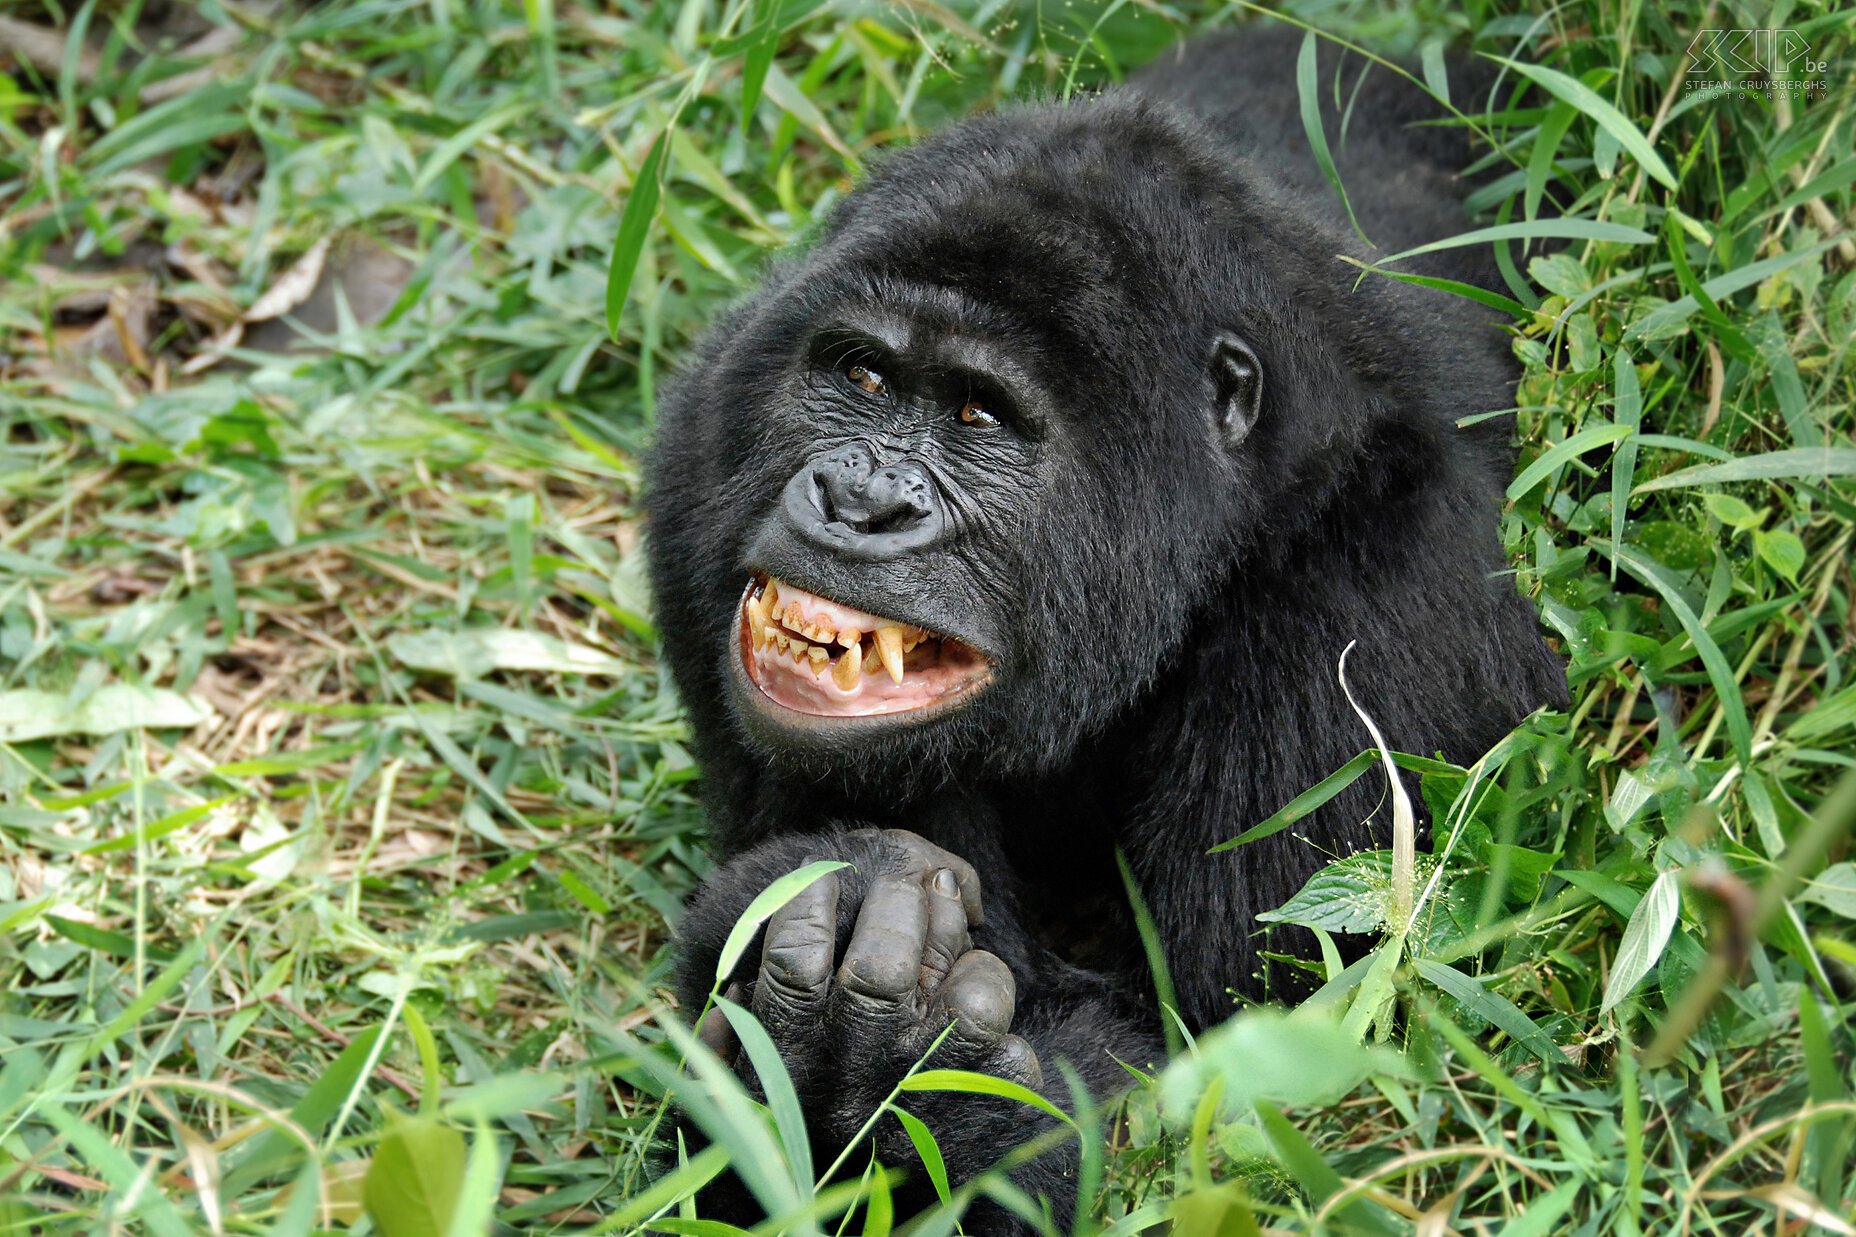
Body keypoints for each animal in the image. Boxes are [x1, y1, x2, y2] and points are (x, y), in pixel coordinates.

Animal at [649, 24, 1566, 1225]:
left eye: (979, 414)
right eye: (861, 374)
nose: (858, 501)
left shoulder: (1381, 596)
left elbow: (1228, 1080)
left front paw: (883, 1074)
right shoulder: (704, 449)